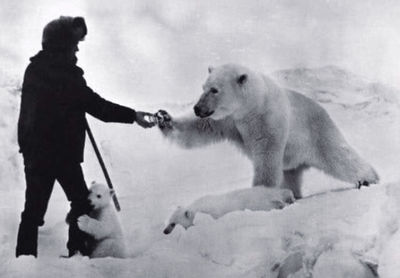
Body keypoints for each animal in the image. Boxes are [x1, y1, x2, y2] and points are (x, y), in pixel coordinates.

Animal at [159, 63, 378, 198]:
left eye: (215, 90)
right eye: (203, 87)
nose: (197, 108)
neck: (251, 106)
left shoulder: (267, 120)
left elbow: (266, 156)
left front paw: (259, 194)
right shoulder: (229, 121)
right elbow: (200, 129)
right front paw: (164, 118)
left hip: (318, 133)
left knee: (340, 157)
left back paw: (369, 179)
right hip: (293, 157)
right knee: (290, 175)